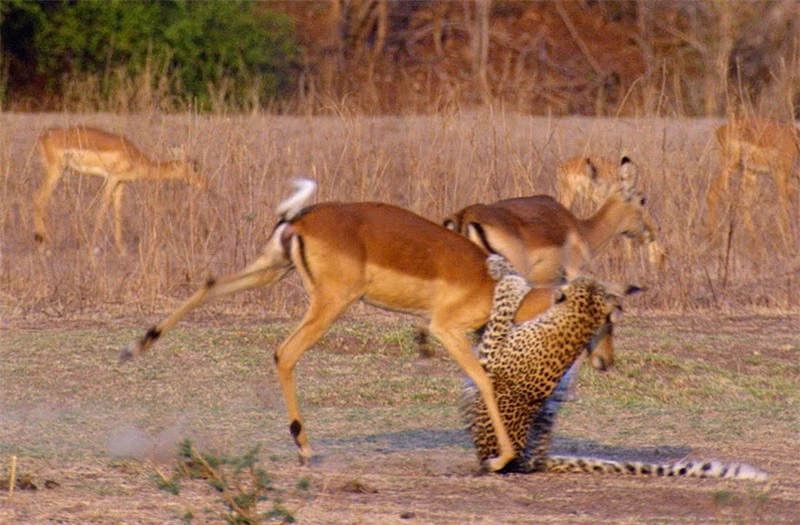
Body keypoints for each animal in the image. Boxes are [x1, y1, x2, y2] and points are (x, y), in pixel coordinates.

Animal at [462, 254, 768, 478]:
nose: (565, 275)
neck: (575, 321)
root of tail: (534, 461)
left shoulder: (490, 352)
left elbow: (504, 302)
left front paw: (504, 271)